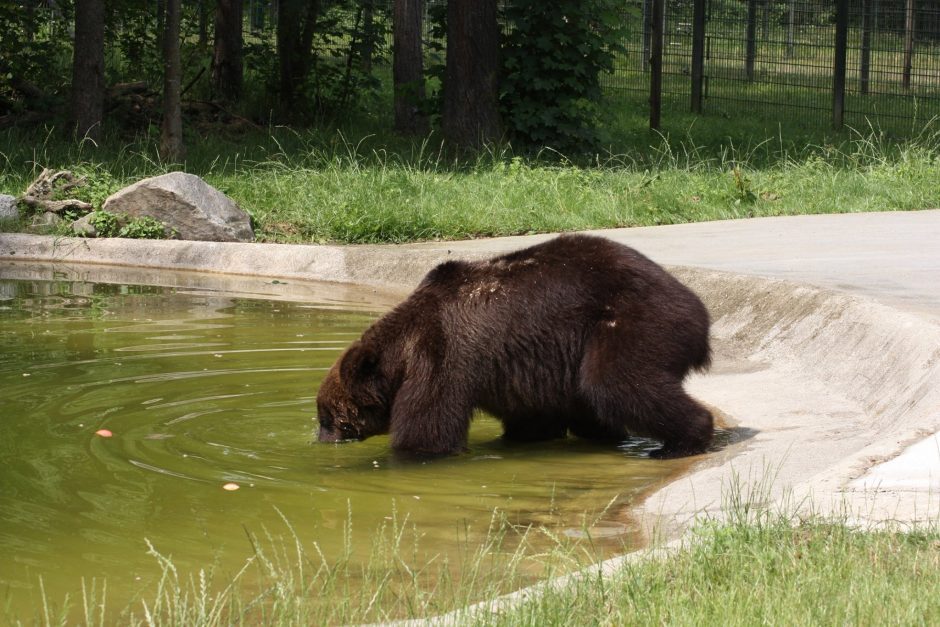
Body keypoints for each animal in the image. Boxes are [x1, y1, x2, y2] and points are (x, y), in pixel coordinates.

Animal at [316, 233, 712, 458]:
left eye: (327, 415)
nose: (321, 438)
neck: (400, 355)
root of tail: (700, 312)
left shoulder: (442, 353)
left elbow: (428, 426)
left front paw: (414, 451)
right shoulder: (523, 370)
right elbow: (532, 419)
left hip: (630, 322)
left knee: (616, 384)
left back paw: (681, 442)